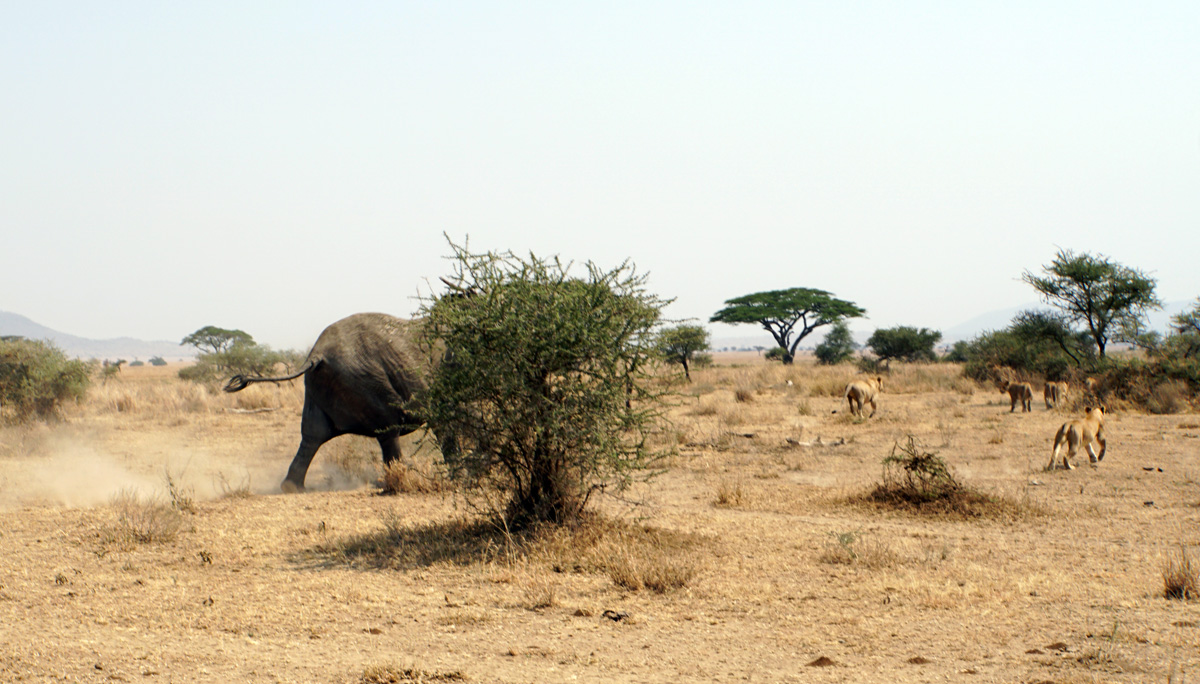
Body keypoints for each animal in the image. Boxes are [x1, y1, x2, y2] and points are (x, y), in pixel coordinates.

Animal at [223, 312, 454, 492]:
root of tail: (316, 354)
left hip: (321, 385)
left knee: (313, 434)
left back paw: (292, 488)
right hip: (364, 380)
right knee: (389, 429)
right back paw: (400, 482)